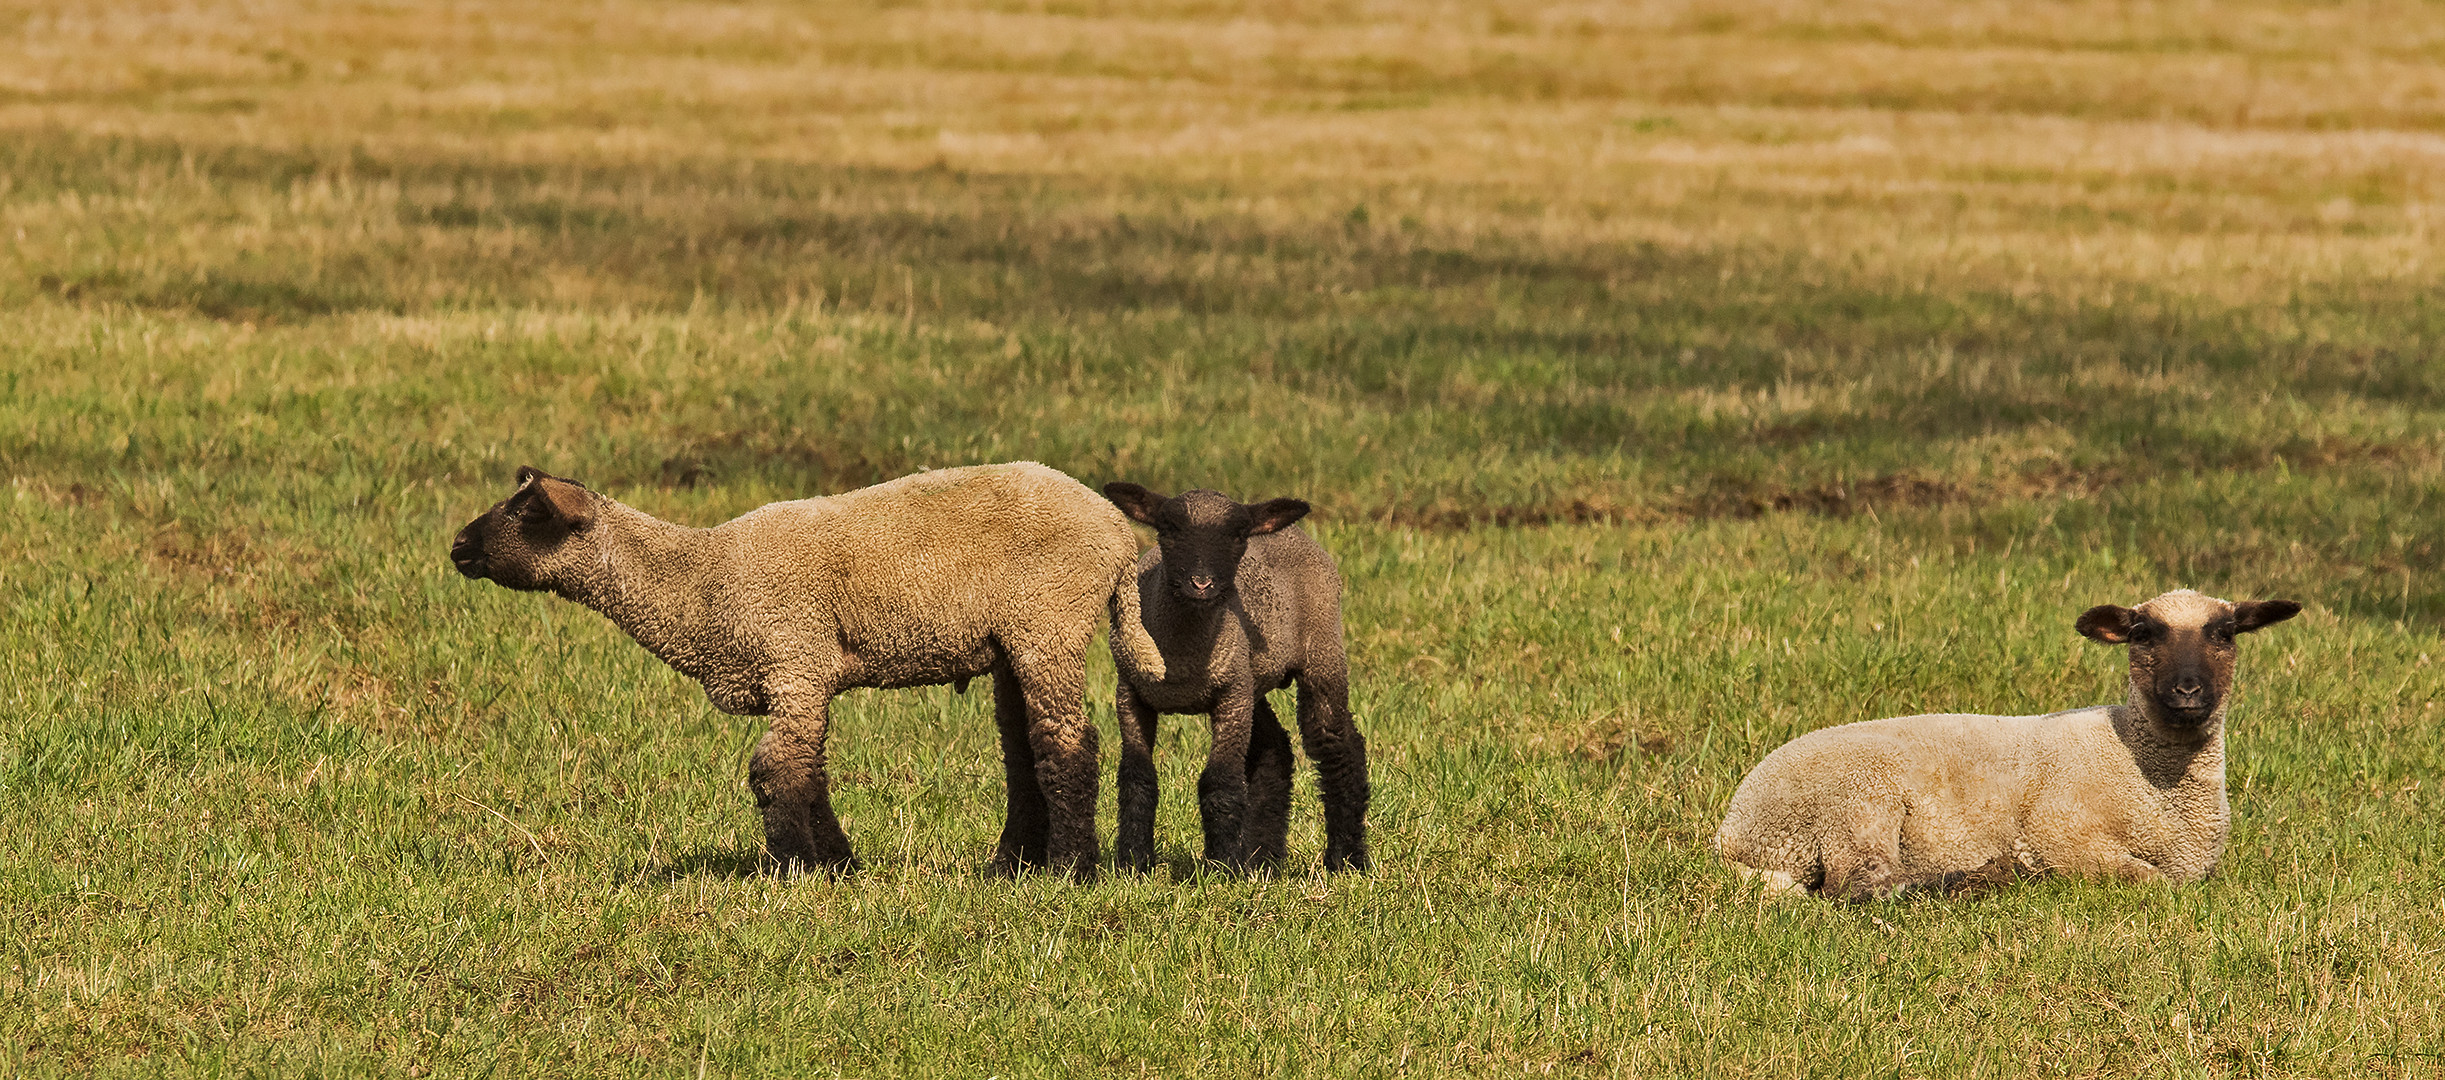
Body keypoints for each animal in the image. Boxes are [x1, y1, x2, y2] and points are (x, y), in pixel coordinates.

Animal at [452, 461, 1173, 879]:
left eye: (528, 512)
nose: (457, 546)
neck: (699, 581)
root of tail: (1117, 534)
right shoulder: (799, 675)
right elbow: (807, 769)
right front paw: (837, 863)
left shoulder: (791, 657)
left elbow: (776, 770)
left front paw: (798, 868)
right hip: (1013, 641)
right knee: (1023, 751)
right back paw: (1011, 864)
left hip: (1050, 618)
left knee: (1068, 745)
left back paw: (1071, 869)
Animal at [1721, 586, 2288, 899]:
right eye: (2143, 633)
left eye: (2225, 634)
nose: (2187, 690)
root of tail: (1733, 831)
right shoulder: (2060, 831)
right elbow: (2153, 883)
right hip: (1853, 805)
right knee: (1861, 888)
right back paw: (1977, 879)